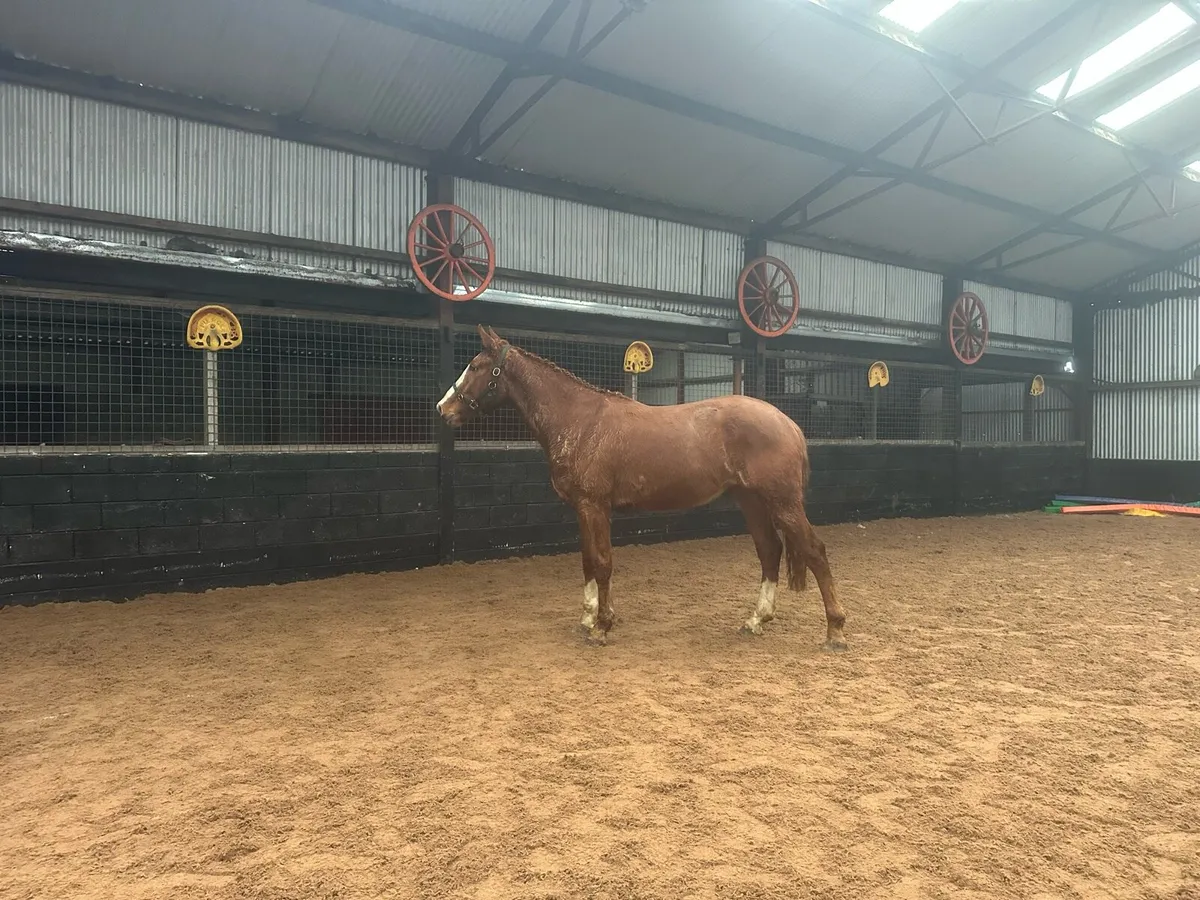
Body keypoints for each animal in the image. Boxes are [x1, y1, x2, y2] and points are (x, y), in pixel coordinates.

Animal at [436, 325, 848, 652]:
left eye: (476, 366)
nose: (443, 409)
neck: (580, 421)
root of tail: (787, 422)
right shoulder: (582, 508)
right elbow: (588, 560)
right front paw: (588, 618)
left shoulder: (595, 506)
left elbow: (603, 563)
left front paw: (602, 627)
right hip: (752, 501)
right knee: (770, 551)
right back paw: (756, 620)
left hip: (783, 502)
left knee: (814, 551)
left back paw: (835, 632)